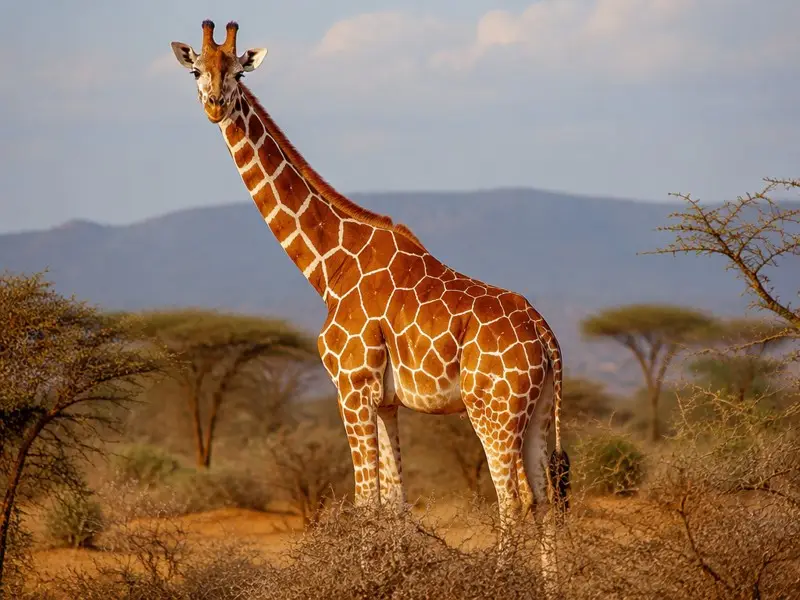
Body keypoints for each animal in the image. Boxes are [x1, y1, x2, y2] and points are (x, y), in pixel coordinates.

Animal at [170, 20, 570, 530]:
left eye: (238, 73)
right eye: (196, 70)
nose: (215, 105)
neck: (327, 267)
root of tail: (545, 335)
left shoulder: (352, 386)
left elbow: (364, 501)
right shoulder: (385, 400)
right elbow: (394, 501)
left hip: (492, 411)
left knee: (514, 501)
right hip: (538, 410)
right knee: (546, 499)